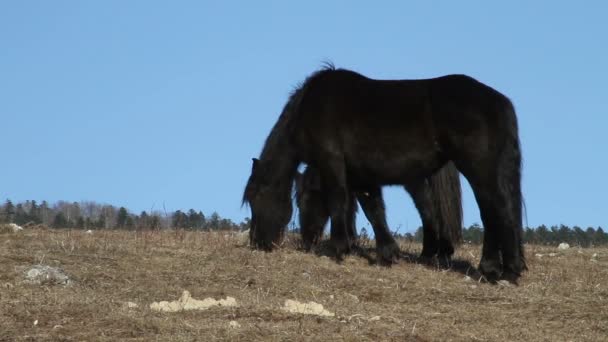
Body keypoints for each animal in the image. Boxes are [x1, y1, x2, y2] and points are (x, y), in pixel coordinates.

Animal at [294, 162, 460, 264]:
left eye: (308, 200)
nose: (307, 242)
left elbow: (372, 210)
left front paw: (388, 251)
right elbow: (350, 207)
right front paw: (350, 242)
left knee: (427, 208)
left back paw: (428, 252)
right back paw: (443, 251)